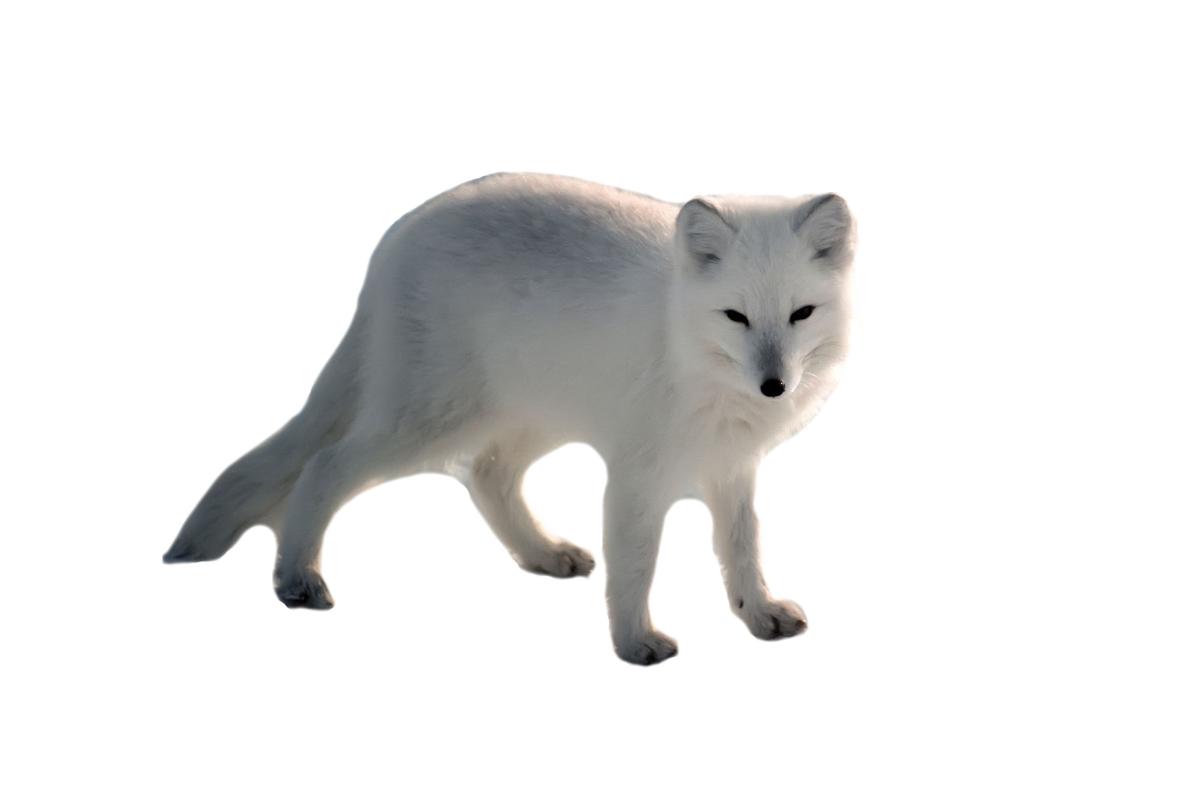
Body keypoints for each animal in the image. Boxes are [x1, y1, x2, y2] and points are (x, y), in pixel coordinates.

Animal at [164, 172, 856, 665]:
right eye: (735, 316)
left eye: (801, 313)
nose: (774, 387)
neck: (689, 350)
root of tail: (396, 238)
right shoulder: (637, 473)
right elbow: (637, 562)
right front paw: (636, 644)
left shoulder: (731, 467)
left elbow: (742, 547)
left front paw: (758, 614)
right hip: (426, 421)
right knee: (325, 465)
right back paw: (297, 579)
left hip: (526, 418)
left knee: (488, 476)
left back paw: (543, 554)